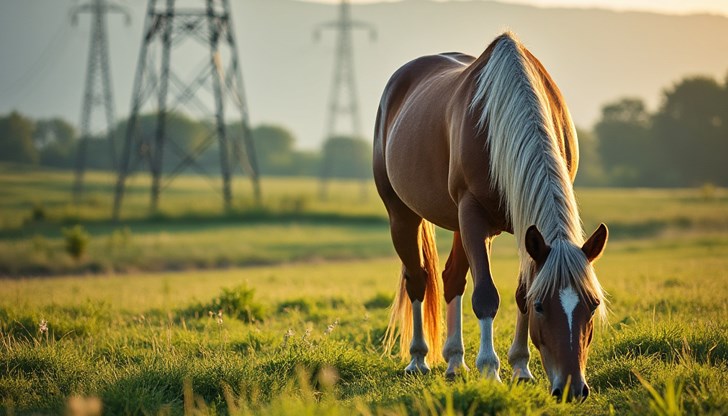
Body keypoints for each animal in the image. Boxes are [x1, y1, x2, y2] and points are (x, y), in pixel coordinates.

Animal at [376, 30, 608, 402]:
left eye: (593, 303)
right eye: (543, 306)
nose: (572, 389)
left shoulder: (525, 229)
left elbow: (518, 294)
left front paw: (521, 367)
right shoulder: (473, 214)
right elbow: (487, 295)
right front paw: (490, 369)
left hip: (460, 224)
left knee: (452, 278)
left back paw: (455, 362)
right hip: (404, 215)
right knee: (418, 280)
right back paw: (419, 359)